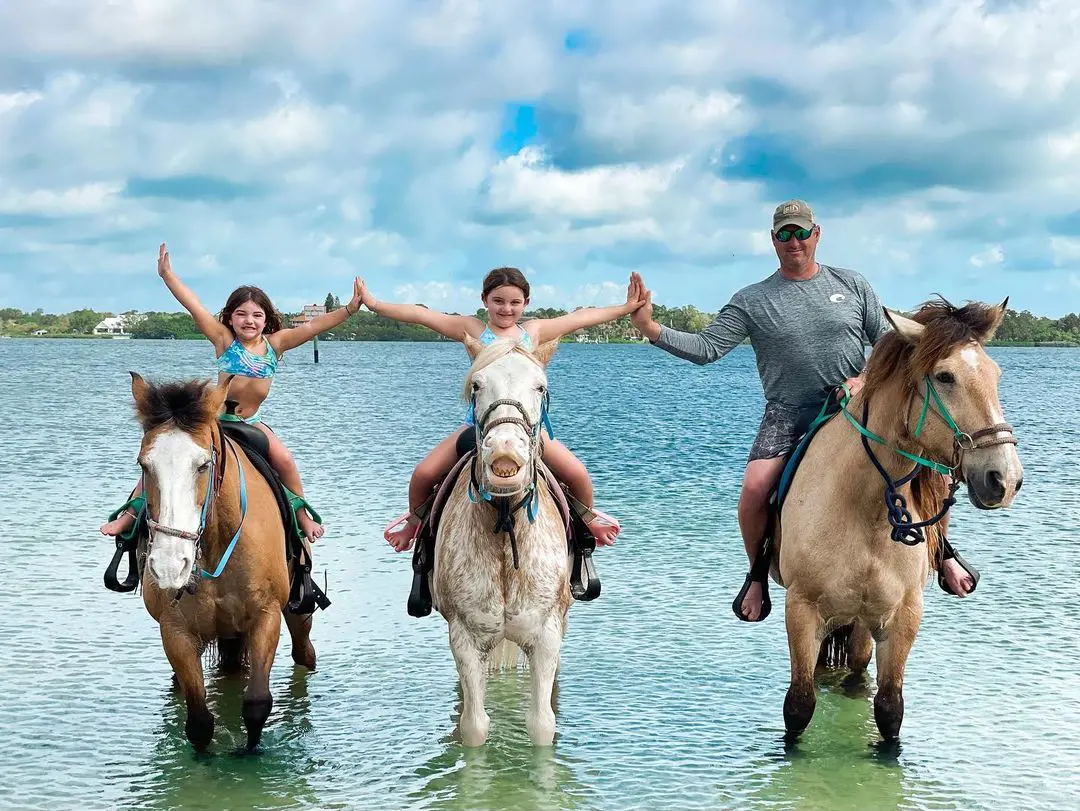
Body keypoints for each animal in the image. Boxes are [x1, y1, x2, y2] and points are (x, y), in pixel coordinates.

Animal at [768, 298, 1019, 742]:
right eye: (945, 376)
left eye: (995, 375)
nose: (1004, 479)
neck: (865, 509)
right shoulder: (801, 610)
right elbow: (798, 705)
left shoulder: (902, 616)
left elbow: (889, 709)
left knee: (857, 666)